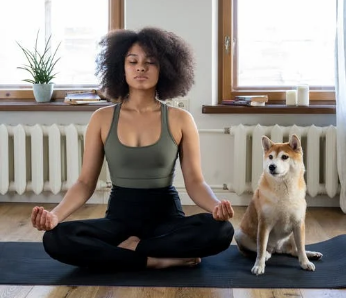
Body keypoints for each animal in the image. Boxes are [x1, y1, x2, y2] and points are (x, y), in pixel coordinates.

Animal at [234, 134, 324, 274]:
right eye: (270, 157)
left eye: (284, 157)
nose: (271, 166)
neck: (284, 190)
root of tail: (277, 249)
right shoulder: (264, 223)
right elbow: (260, 248)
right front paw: (259, 266)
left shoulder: (298, 223)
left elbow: (301, 248)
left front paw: (305, 262)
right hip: (239, 234)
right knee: (255, 250)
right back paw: (266, 254)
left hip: (292, 235)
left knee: (295, 251)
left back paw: (312, 254)